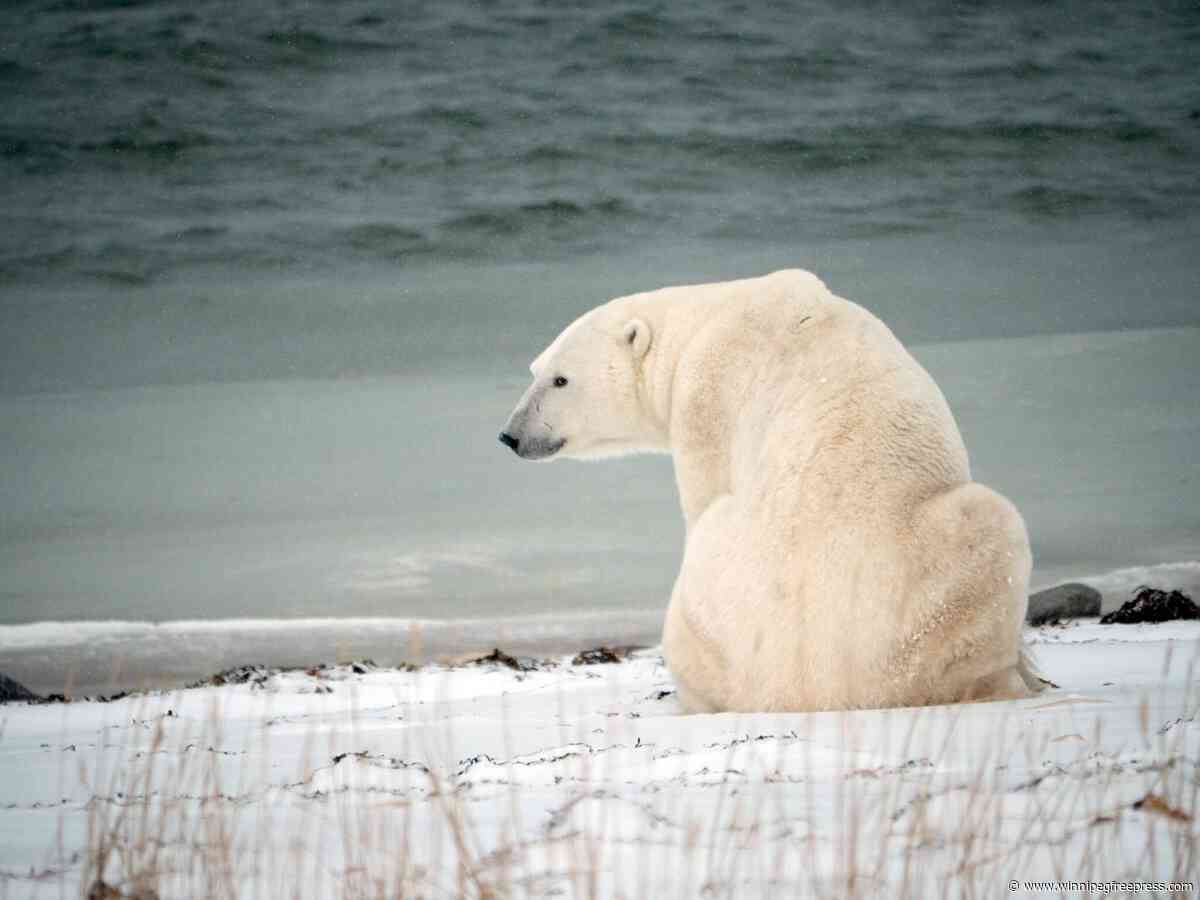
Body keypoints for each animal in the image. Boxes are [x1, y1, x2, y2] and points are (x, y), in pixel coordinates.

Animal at [499, 269, 1040, 713]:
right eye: (535, 371)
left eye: (560, 379)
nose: (510, 435)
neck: (709, 316)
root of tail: (822, 690)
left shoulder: (704, 397)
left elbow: (703, 489)